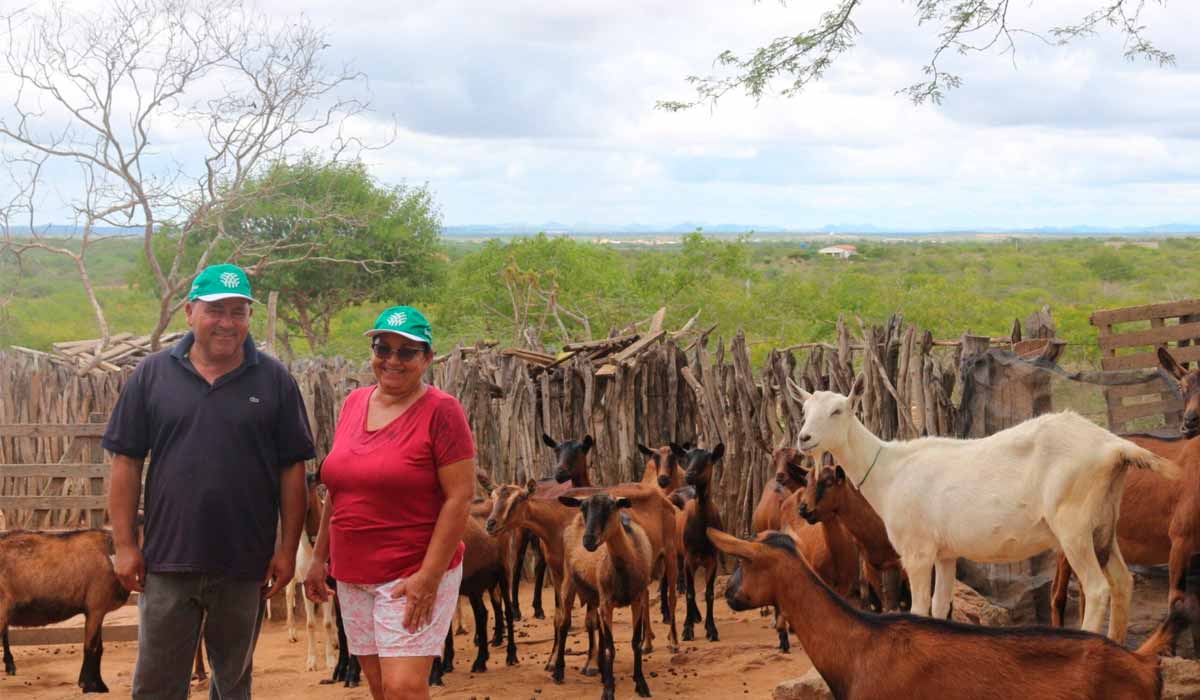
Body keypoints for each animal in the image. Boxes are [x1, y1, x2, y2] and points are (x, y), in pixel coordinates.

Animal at [0, 530, 130, 691]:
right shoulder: (96, 607)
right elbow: (91, 647)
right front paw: (88, 685)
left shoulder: (97, 611)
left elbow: (99, 648)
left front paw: (99, 685)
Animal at [792, 374, 1176, 643]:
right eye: (805, 411)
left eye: (838, 410)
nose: (804, 438)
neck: (890, 469)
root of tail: (1113, 447)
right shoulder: (945, 554)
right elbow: (939, 608)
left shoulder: (916, 552)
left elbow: (918, 608)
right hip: (1103, 525)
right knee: (1123, 581)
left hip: (1073, 526)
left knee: (1098, 589)